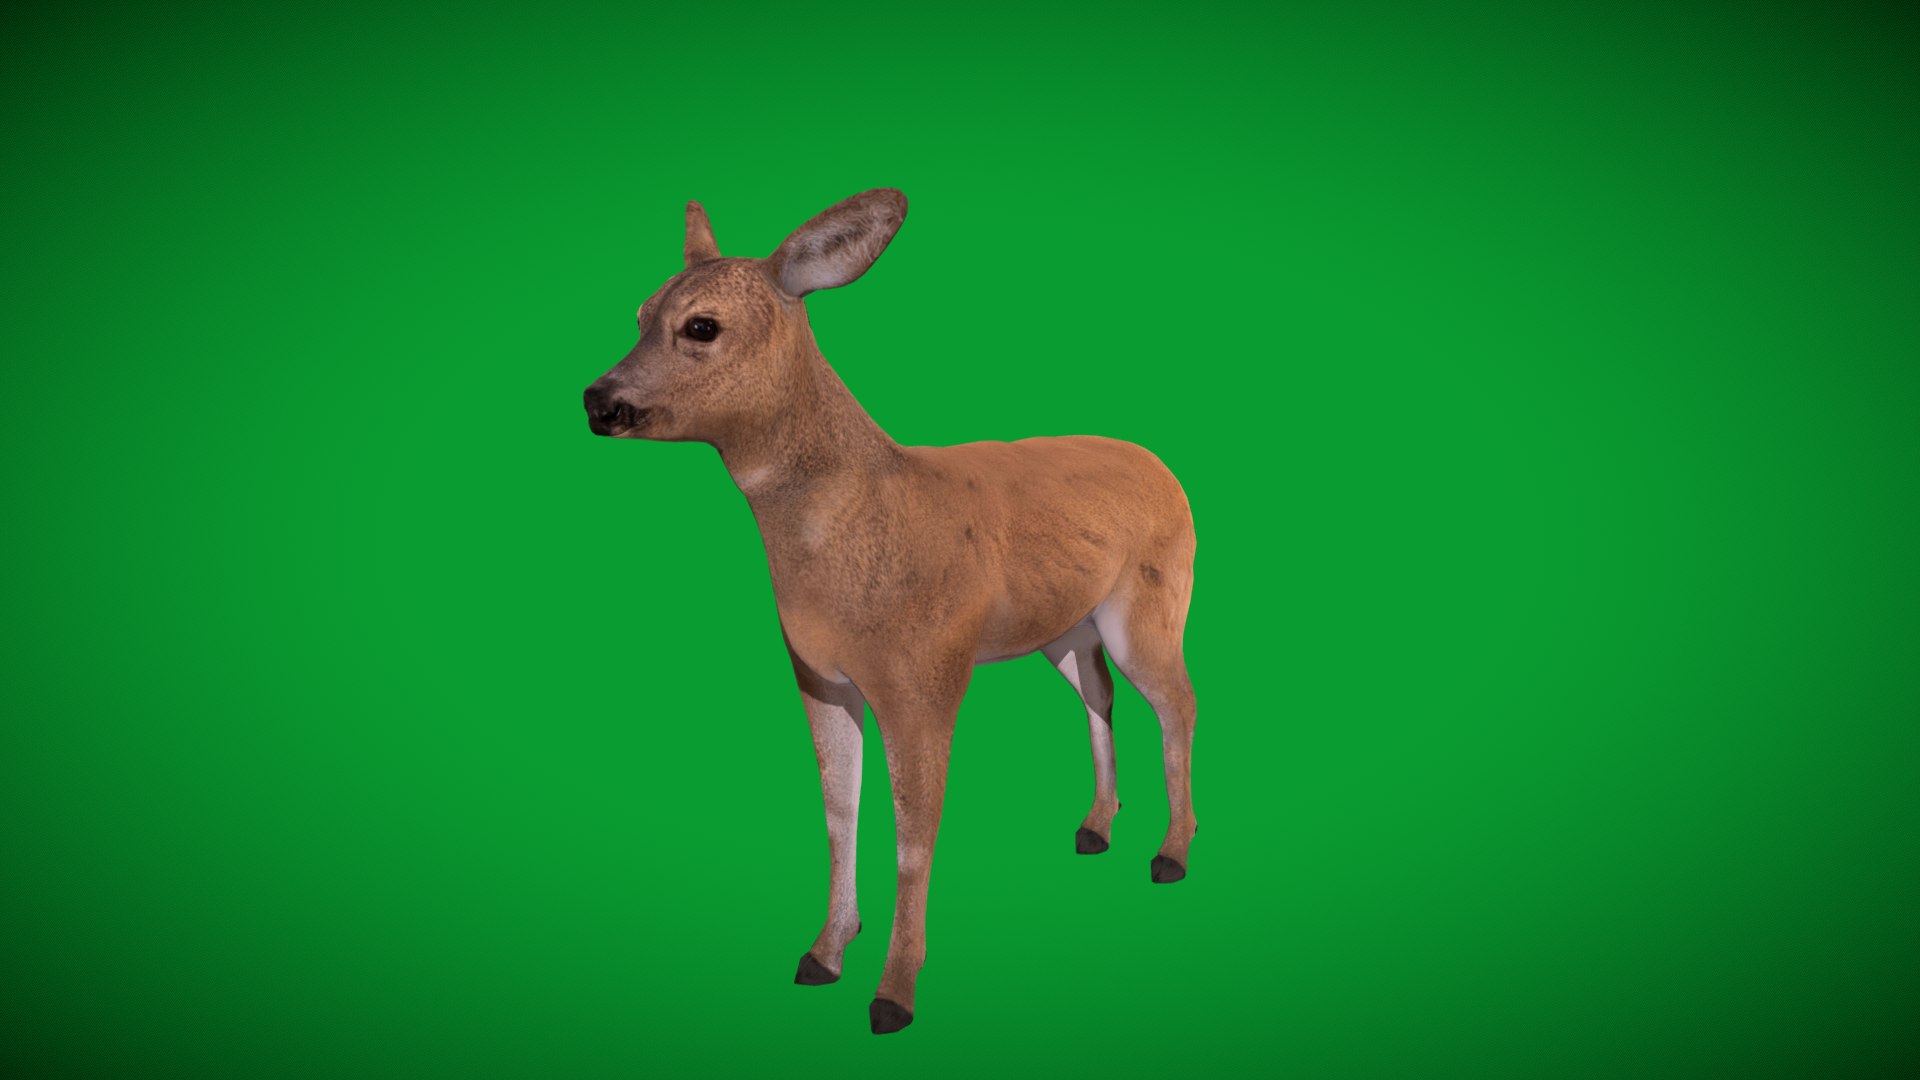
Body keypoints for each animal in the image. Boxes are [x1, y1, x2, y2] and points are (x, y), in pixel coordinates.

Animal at [581, 189, 1198, 1034]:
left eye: (700, 325)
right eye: (640, 312)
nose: (598, 400)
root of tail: (1166, 469)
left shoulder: (925, 670)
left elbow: (915, 830)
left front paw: (894, 993)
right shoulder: (819, 673)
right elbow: (839, 810)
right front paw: (822, 952)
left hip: (1156, 598)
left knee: (1178, 702)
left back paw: (1170, 854)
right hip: (1068, 628)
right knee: (1100, 696)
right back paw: (1095, 828)